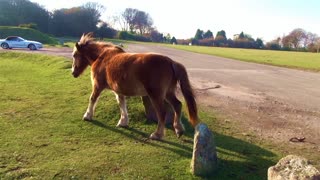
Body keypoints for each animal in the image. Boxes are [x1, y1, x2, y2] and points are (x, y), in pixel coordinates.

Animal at [71, 33, 199, 141]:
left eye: (74, 55)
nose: (73, 73)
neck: (102, 57)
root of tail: (171, 62)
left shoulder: (97, 86)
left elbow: (92, 99)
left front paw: (87, 116)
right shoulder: (119, 90)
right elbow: (121, 104)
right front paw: (123, 122)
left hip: (156, 95)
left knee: (162, 112)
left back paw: (157, 134)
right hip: (168, 93)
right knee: (177, 105)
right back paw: (178, 130)